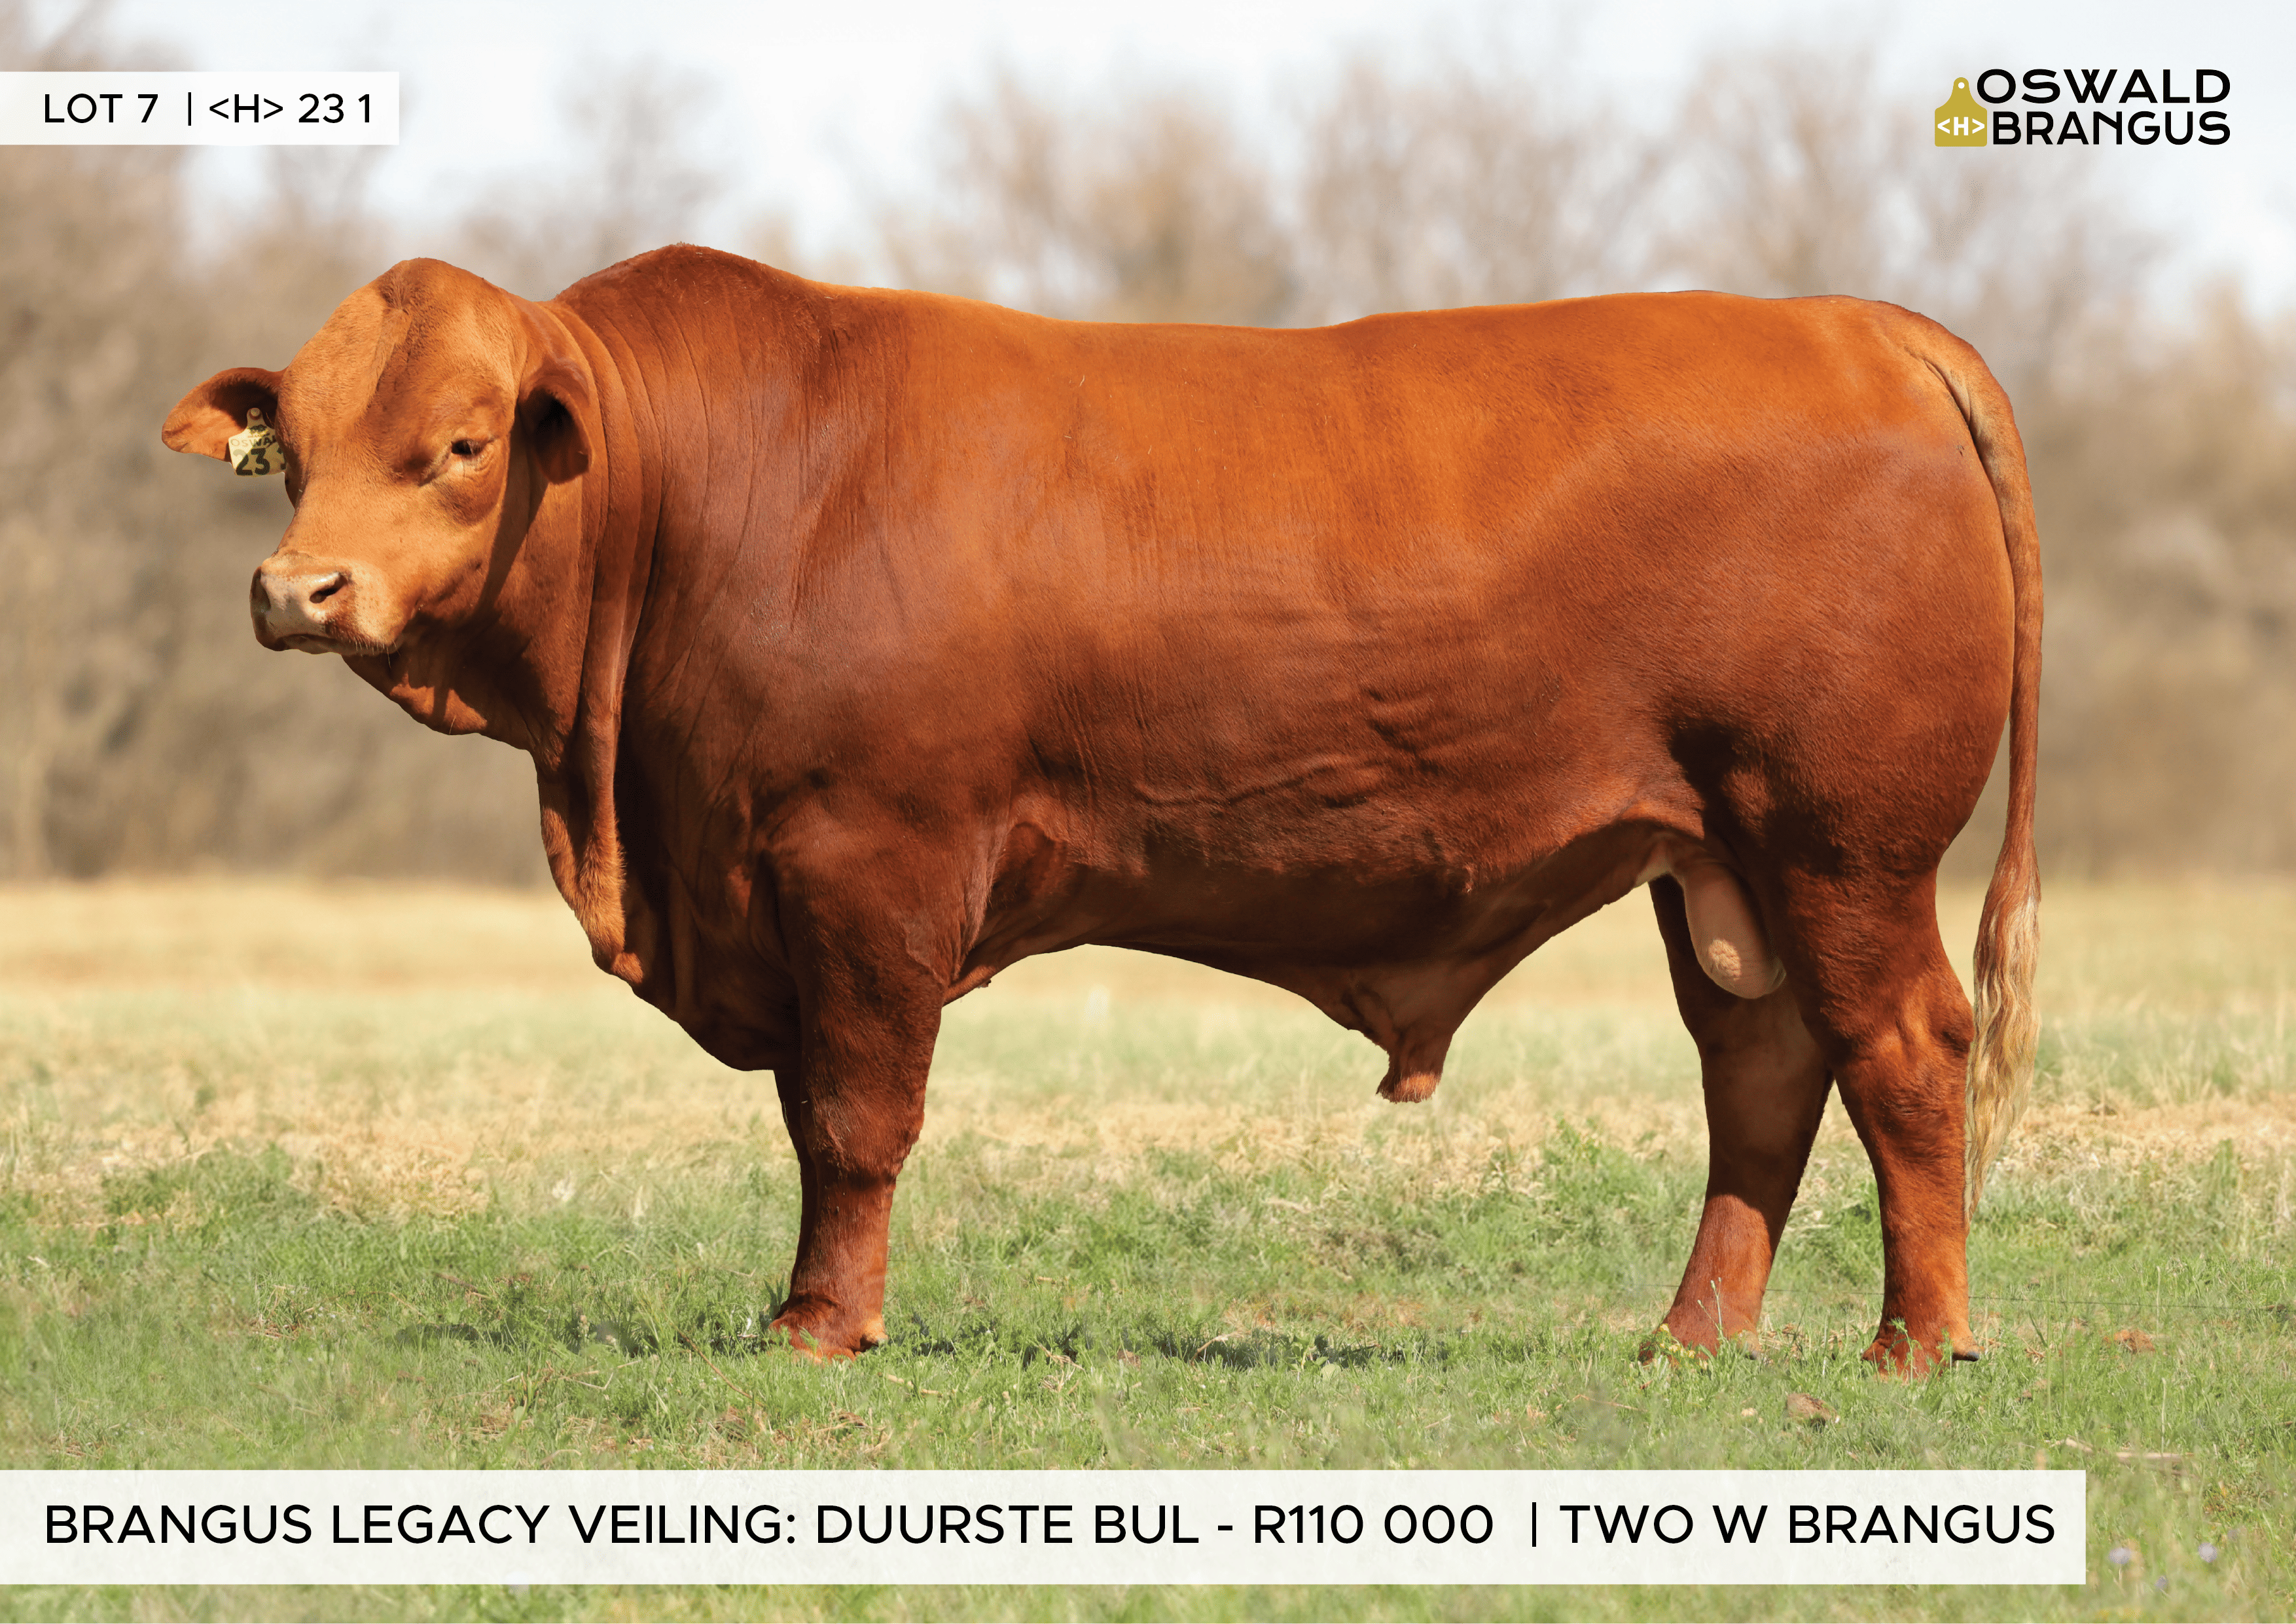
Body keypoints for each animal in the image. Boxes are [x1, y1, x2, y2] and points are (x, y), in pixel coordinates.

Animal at [163, 247, 2040, 1372]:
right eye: (295, 448)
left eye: (462, 445)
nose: (296, 589)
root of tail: (1853, 323)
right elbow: (817, 1123)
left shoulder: (870, 862)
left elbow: (852, 1121)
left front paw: (820, 1327)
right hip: (1721, 866)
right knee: (1763, 1073)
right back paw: (1693, 1338)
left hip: (1841, 843)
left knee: (1899, 1052)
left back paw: (1917, 1343)